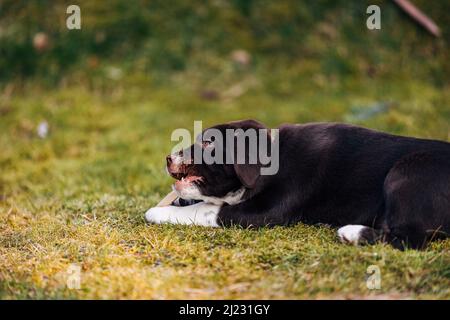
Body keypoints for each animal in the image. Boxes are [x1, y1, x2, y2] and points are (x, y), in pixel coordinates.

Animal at [146, 120, 448, 250]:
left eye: (209, 143)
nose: (168, 158)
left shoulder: (266, 211)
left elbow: (208, 209)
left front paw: (158, 211)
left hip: (407, 170)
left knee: (412, 239)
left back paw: (352, 232)